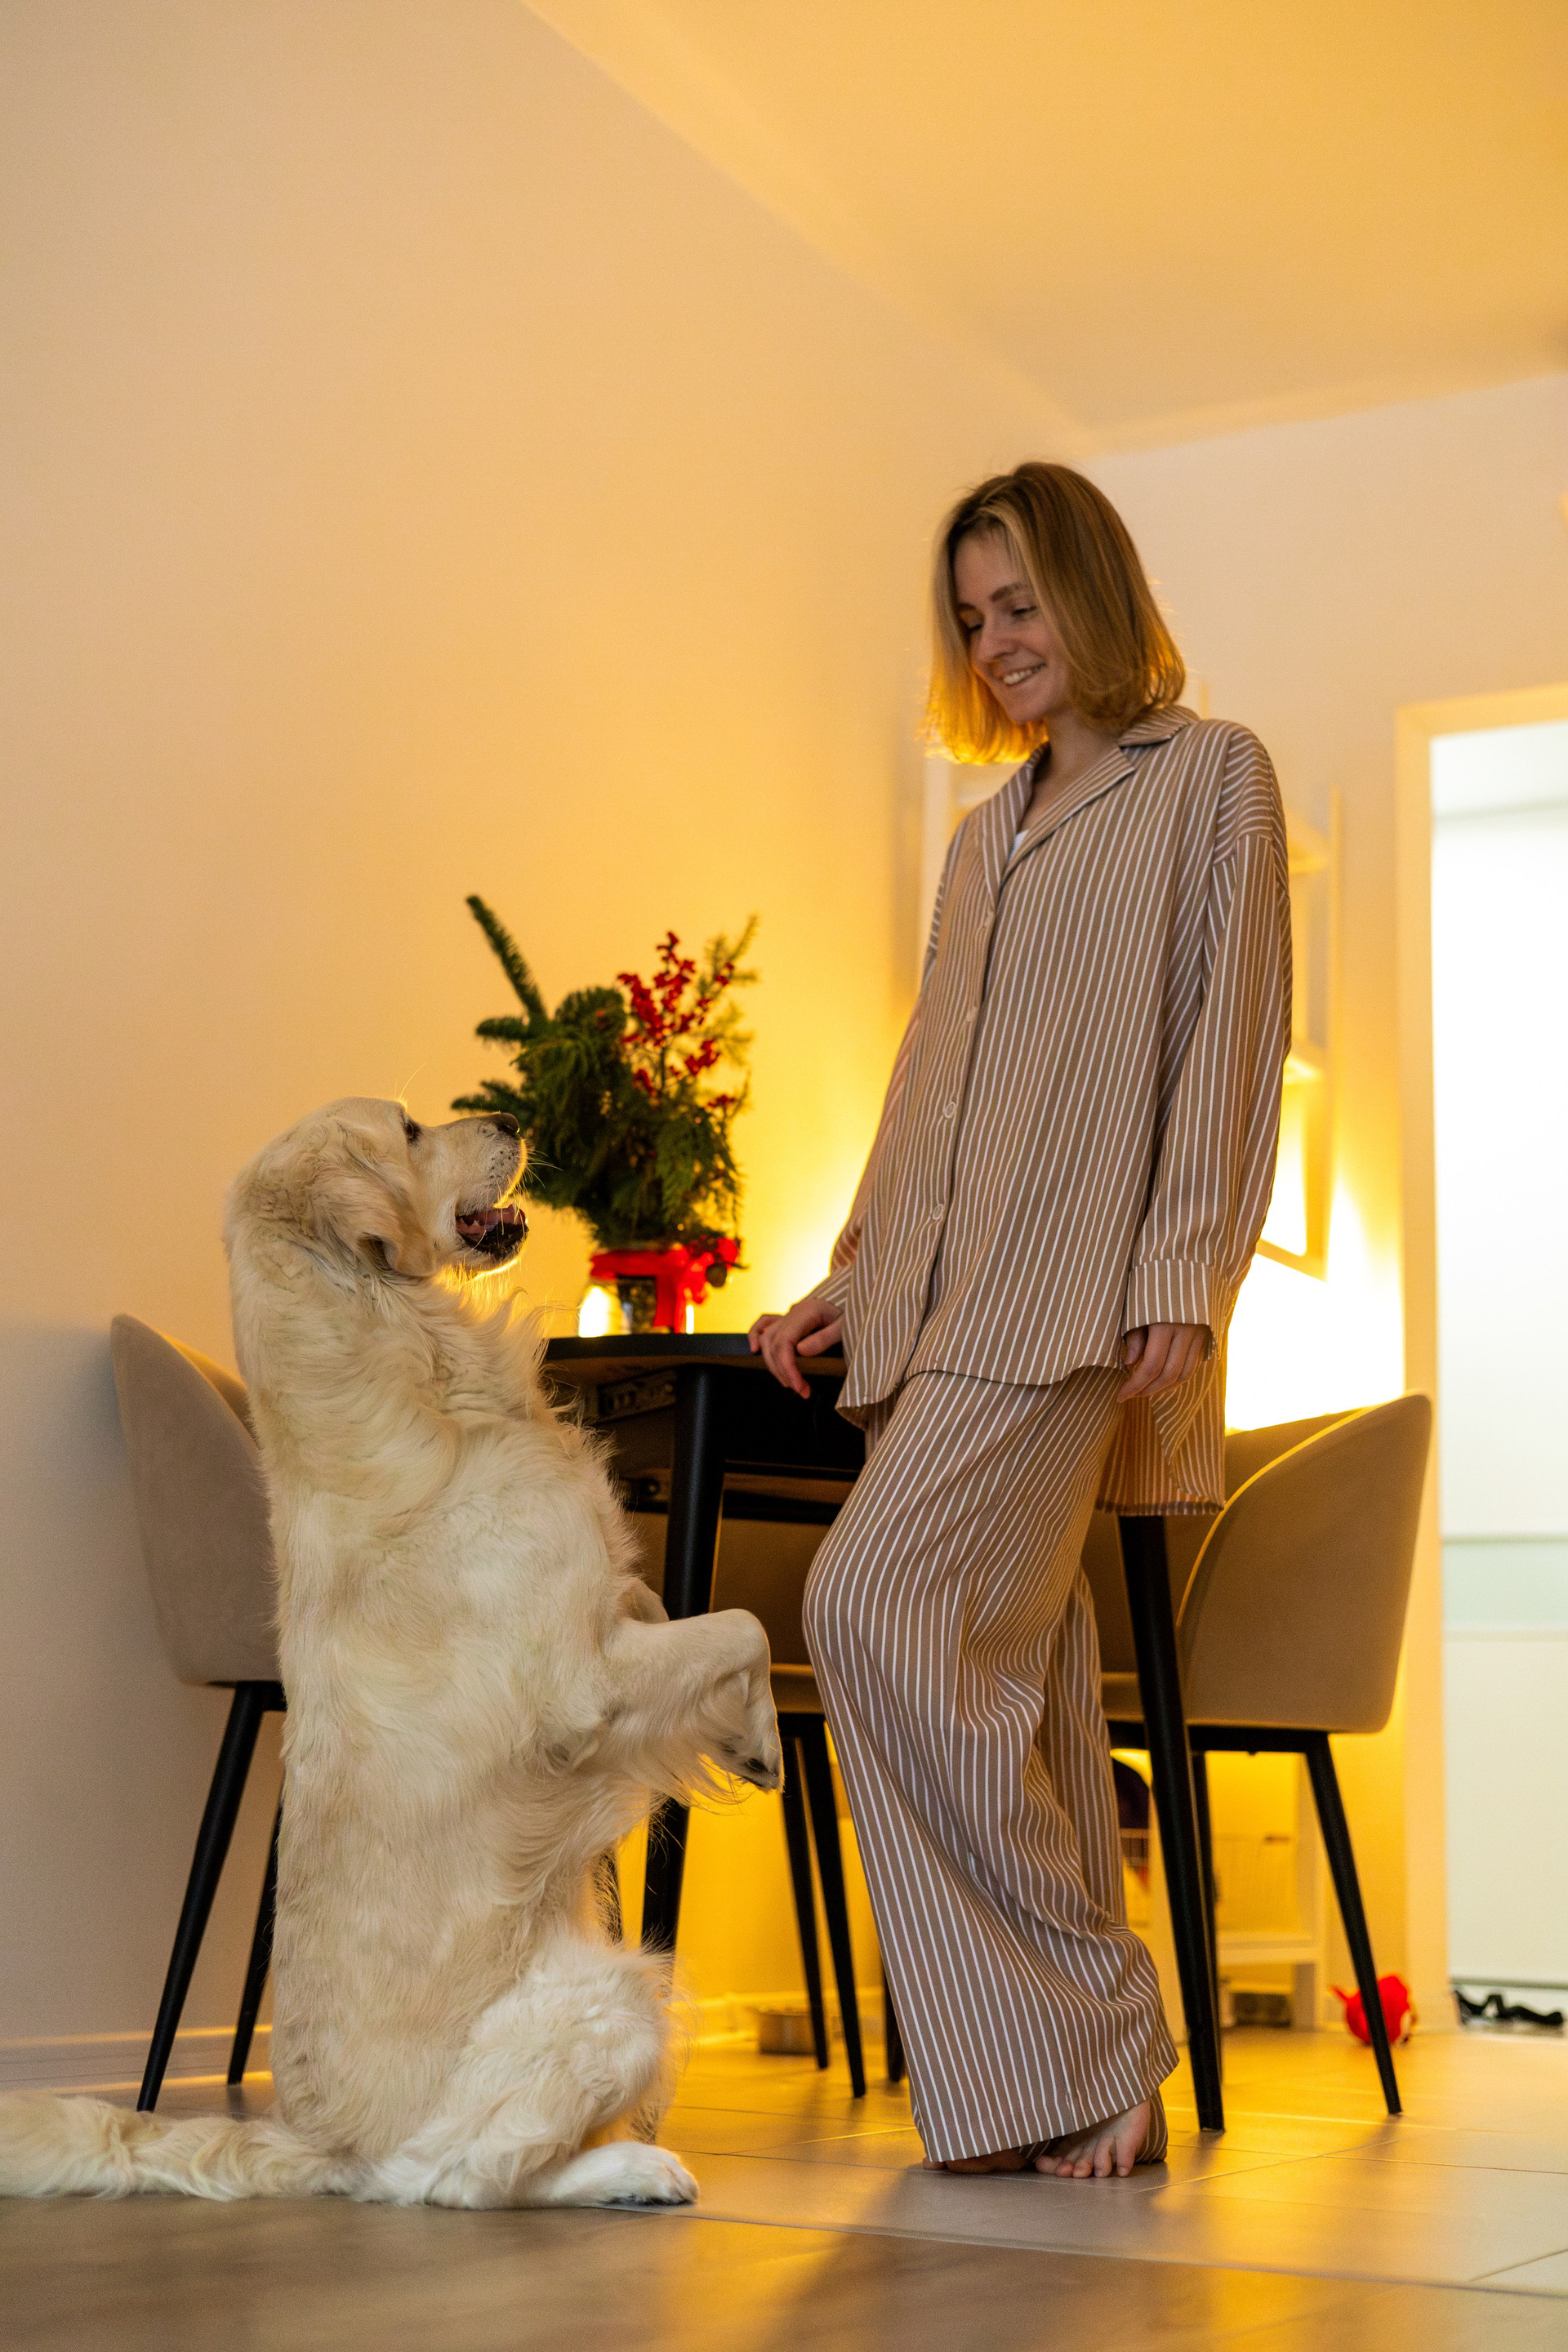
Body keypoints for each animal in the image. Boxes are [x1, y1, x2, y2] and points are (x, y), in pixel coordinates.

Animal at [0, 1099, 781, 2208]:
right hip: (615, 1988)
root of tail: (321, 2144)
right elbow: (742, 1621)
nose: (511, 1116)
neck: (411, 1359)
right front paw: (762, 1740)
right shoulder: (583, 1686)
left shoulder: (614, 1606)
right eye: (410, 1129)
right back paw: (637, 2167)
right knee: (464, 2178)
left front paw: (747, 1727)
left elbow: (669, 1603)